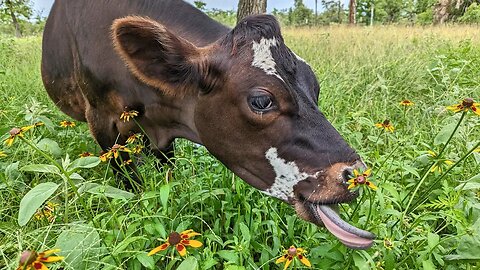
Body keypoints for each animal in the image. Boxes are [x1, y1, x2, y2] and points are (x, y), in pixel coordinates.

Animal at [42, 0, 376, 249]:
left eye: (315, 87)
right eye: (261, 101)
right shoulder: (101, 122)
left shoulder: (164, 141)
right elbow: (129, 185)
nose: (356, 174)